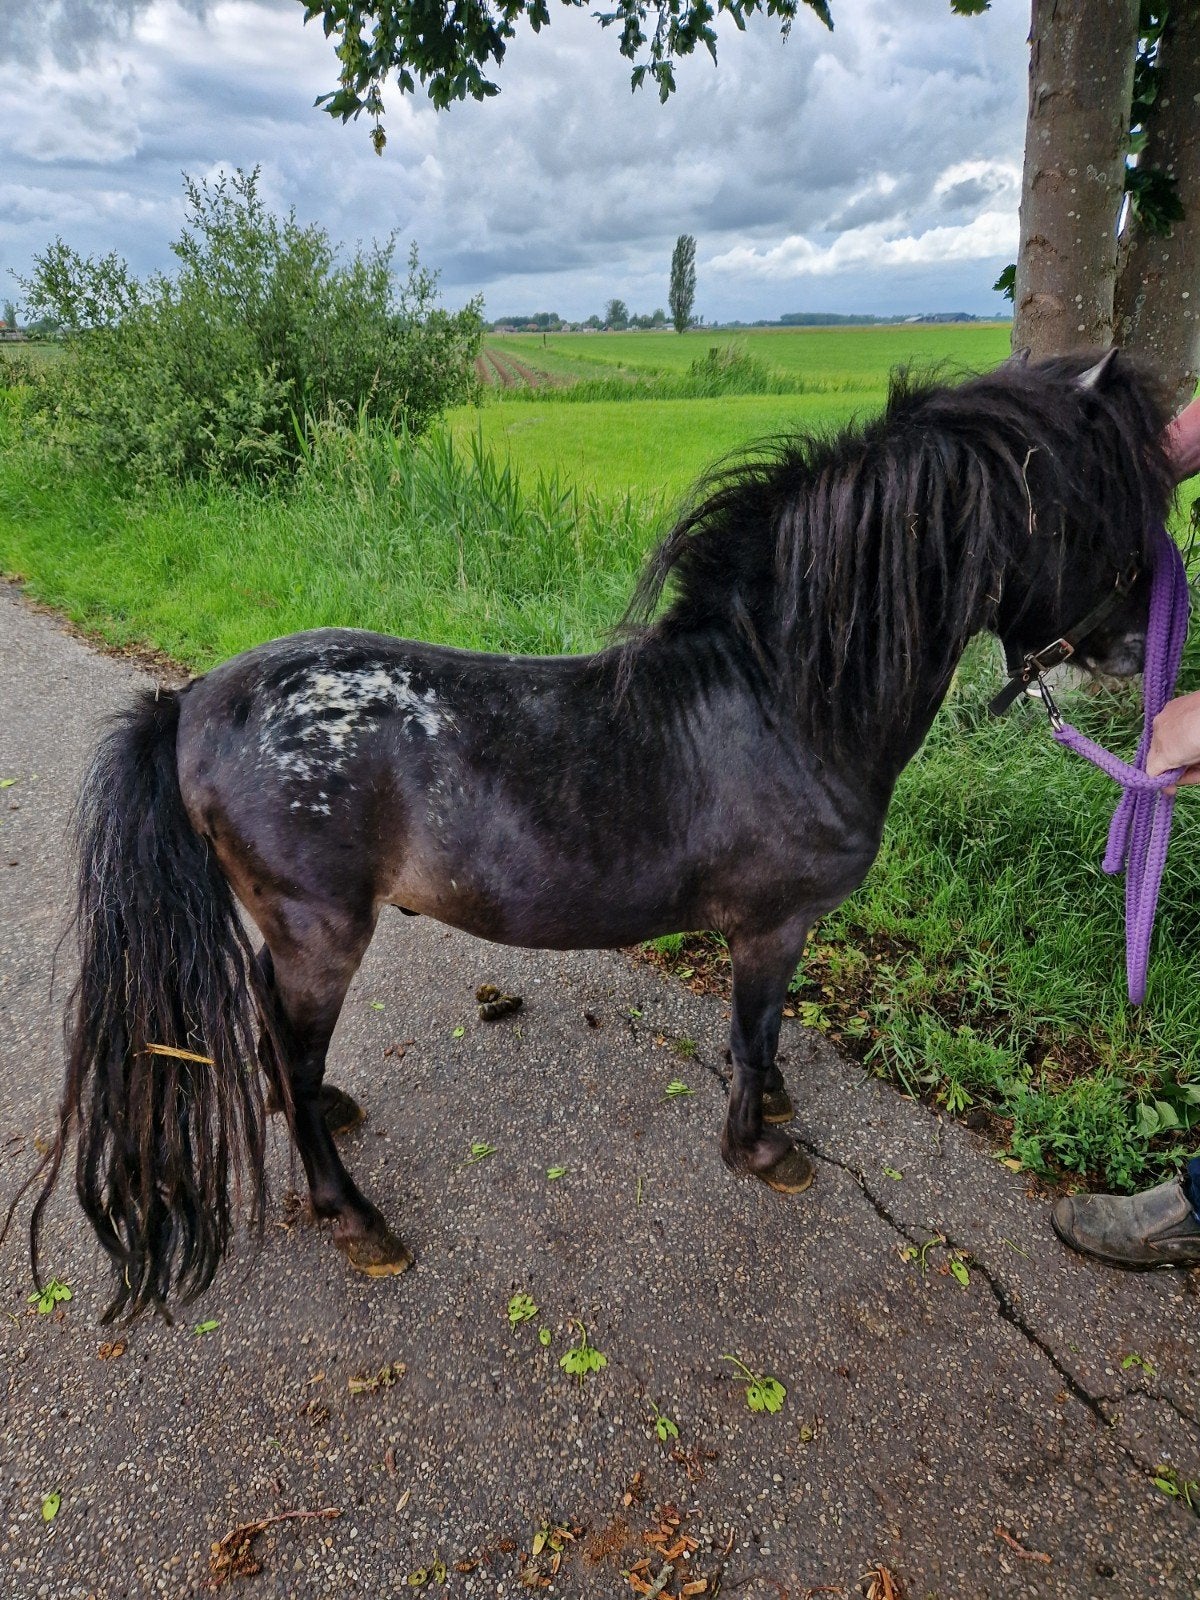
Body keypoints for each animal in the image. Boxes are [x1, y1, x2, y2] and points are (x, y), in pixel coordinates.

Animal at [29, 349, 1174, 1320]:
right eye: (1101, 516)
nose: (1136, 651)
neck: (779, 702)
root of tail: (191, 704)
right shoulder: (772, 928)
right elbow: (754, 1033)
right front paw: (761, 1149)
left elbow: (764, 1037)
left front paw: (777, 1107)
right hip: (323, 933)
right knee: (294, 1052)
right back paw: (353, 1215)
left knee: (277, 1033)